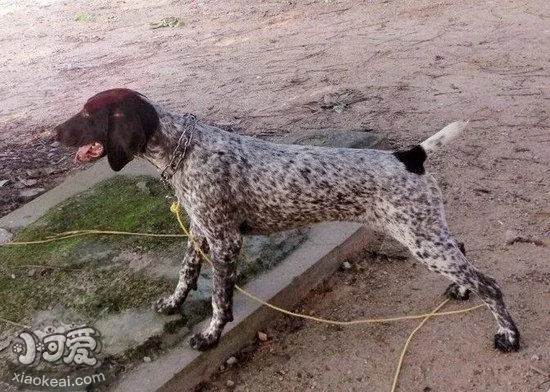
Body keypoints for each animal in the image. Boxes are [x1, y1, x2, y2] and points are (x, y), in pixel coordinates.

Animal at [55, 89, 520, 352]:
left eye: (88, 114)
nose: (54, 133)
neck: (182, 150)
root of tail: (409, 155)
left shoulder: (225, 241)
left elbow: (219, 299)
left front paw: (210, 335)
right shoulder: (200, 231)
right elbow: (185, 274)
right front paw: (173, 304)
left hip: (421, 238)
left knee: (491, 284)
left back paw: (508, 336)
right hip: (426, 233)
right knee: (466, 255)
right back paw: (461, 290)